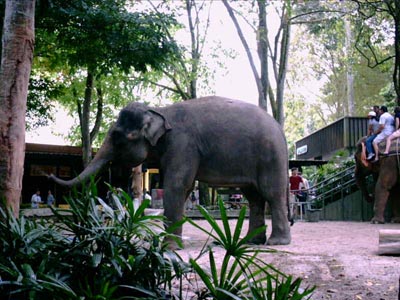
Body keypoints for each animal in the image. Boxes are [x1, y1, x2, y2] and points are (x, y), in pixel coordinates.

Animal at [51, 95, 292, 246]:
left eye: (118, 136)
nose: (50, 175)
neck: (159, 111)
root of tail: (281, 130)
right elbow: (183, 190)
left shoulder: (183, 144)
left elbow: (177, 186)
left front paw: (167, 247)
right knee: (254, 197)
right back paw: (252, 242)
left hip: (271, 157)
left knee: (272, 193)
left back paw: (276, 242)